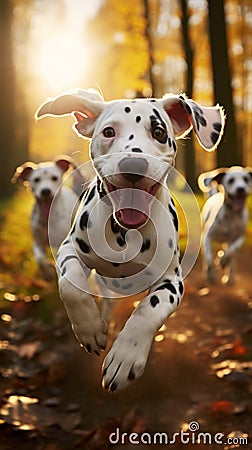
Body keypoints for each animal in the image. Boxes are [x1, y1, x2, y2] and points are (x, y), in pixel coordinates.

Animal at [35, 89, 224, 390]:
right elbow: (71, 284)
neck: (125, 232)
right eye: (109, 132)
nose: (133, 164)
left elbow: (149, 309)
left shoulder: (172, 280)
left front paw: (125, 356)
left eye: (159, 132)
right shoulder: (69, 248)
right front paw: (89, 327)